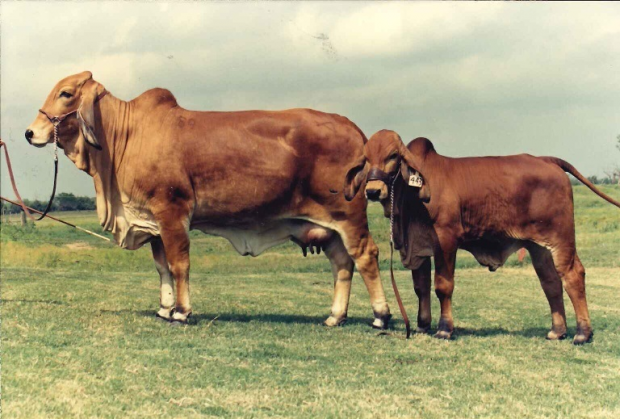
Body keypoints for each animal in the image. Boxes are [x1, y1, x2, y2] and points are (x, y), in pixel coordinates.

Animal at [26, 71, 392, 328]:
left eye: (66, 93)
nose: (30, 133)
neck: (126, 137)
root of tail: (355, 130)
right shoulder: (152, 220)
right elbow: (162, 267)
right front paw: (165, 308)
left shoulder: (172, 212)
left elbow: (179, 264)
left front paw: (182, 312)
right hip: (328, 228)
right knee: (342, 264)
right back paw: (335, 316)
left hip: (349, 217)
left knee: (366, 256)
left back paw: (381, 315)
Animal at [346, 130, 616, 344]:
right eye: (366, 158)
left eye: (393, 156)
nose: (373, 191)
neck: (412, 194)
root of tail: (547, 160)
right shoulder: (419, 245)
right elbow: (420, 286)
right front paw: (422, 325)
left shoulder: (446, 239)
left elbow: (442, 286)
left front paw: (444, 329)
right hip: (538, 247)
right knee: (550, 282)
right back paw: (557, 331)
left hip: (561, 239)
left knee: (573, 275)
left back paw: (583, 333)